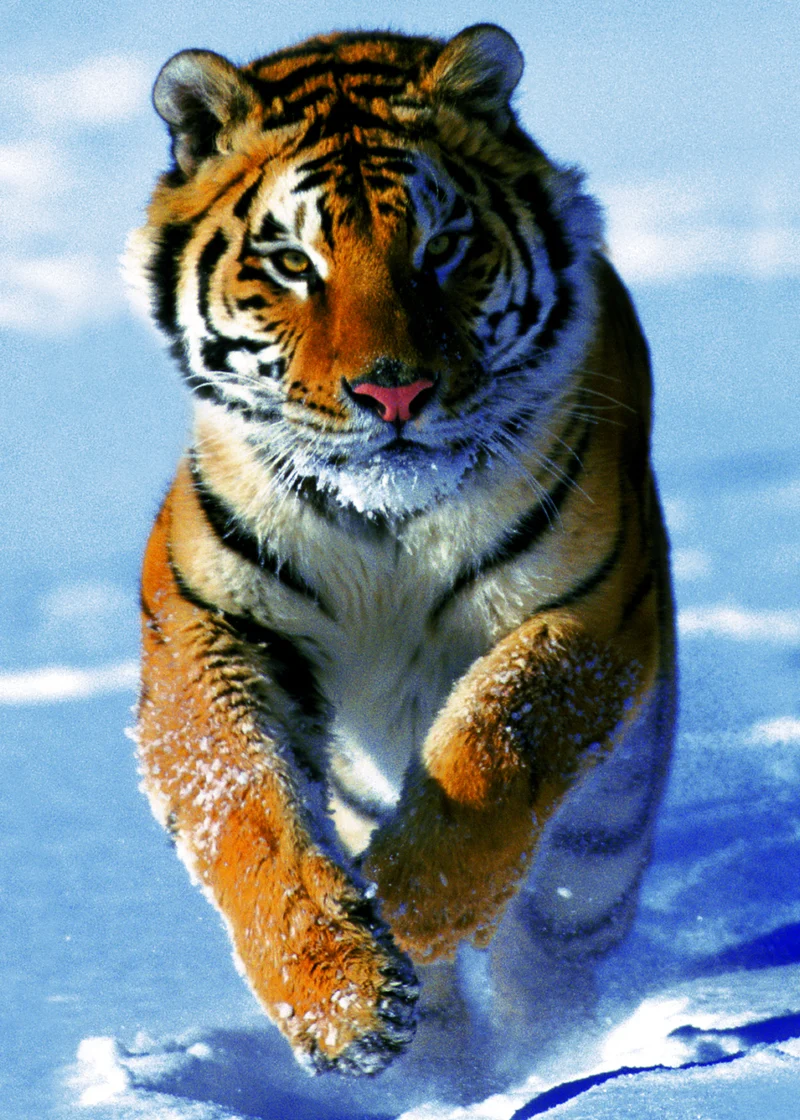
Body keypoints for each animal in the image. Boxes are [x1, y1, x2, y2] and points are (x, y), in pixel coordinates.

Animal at [127, 23, 676, 1079]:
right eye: (291, 261)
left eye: (444, 248)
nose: (393, 394)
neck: (384, 522)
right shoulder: (208, 624)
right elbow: (242, 804)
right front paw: (341, 991)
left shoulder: (589, 608)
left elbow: (495, 741)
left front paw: (407, 910)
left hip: (608, 837)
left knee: (556, 940)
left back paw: (547, 1050)